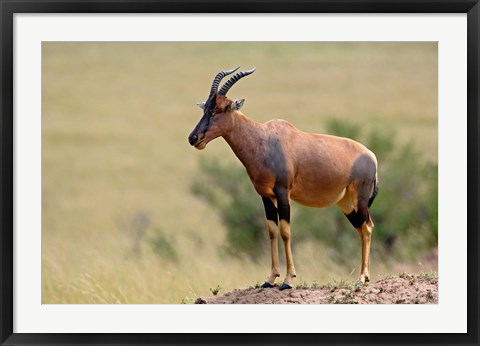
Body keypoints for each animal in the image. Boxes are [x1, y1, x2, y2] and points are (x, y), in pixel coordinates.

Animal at [188, 65, 378, 290]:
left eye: (220, 109)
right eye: (205, 108)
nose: (193, 138)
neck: (264, 139)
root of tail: (371, 156)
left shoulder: (282, 192)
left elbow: (286, 231)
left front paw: (288, 280)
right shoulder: (265, 195)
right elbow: (272, 230)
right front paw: (270, 279)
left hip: (360, 198)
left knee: (367, 227)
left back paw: (362, 277)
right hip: (346, 202)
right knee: (360, 228)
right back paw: (363, 276)